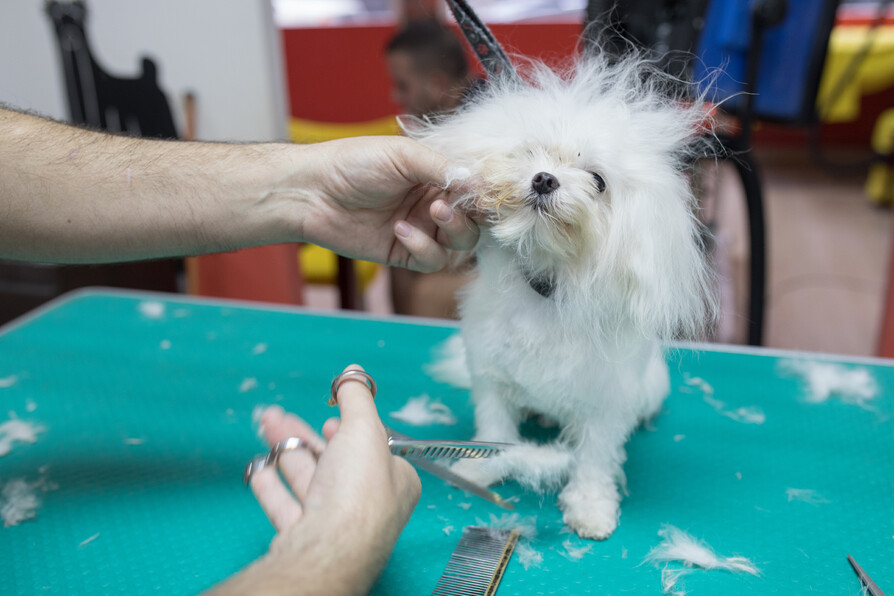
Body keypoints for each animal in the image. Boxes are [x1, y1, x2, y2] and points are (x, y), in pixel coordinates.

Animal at [412, 51, 720, 540]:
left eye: (598, 180)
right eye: (529, 153)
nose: (544, 179)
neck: (546, 288)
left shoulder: (605, 404)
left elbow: (594, 460)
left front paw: (591, 508)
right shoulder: (491, 377)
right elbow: (495, 426)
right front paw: (482, 468)